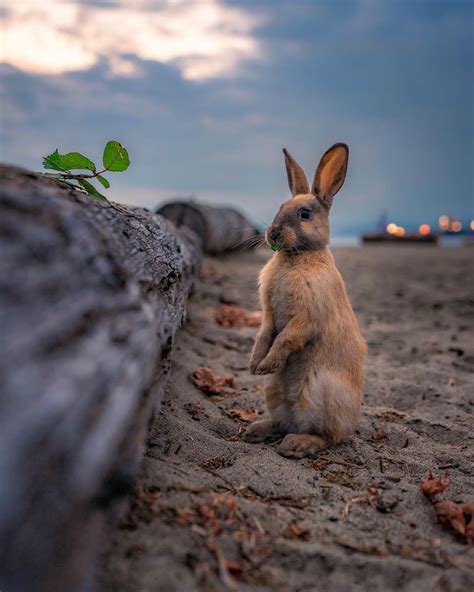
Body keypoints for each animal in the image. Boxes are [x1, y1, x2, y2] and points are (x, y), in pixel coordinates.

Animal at [244, 143, 366, 458]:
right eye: (279, 209)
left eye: (305, 214)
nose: (273, 233)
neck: (297, 256)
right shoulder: (268, 316)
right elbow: (264, 335)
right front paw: (255, 365)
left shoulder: (305, 318)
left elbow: (285, 339)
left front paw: (267, 364)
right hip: (273, 393)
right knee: (282, 423)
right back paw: (256, 430)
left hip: (316, 393)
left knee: (328, 437)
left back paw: (297, 444)